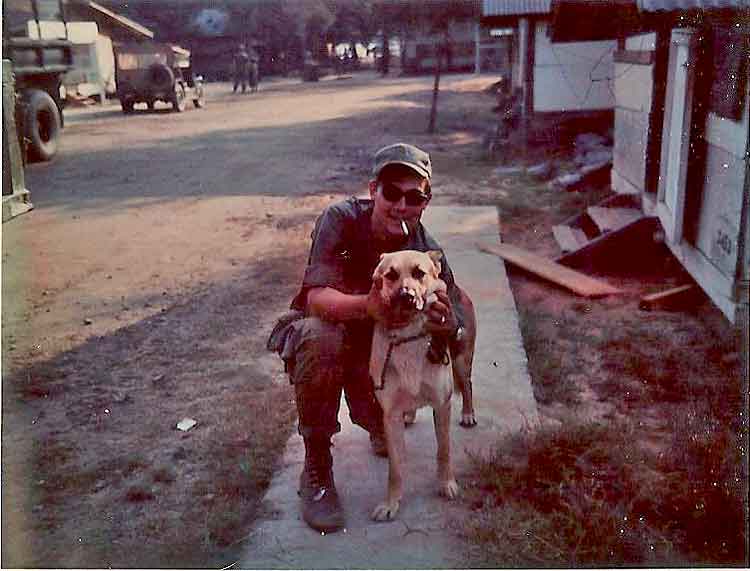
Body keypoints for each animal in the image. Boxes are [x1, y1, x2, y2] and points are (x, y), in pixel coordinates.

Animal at [368, 249, 477, 521]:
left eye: (419, 273)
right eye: (390, 275)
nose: (406, 296)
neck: (408, 337)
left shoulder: (442, 404)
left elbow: (444, 451)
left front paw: (446, 484)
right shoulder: (390, 415)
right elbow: (395, 468)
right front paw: (391, 503)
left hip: (461, 361)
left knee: (467, 386)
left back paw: (468, 413)